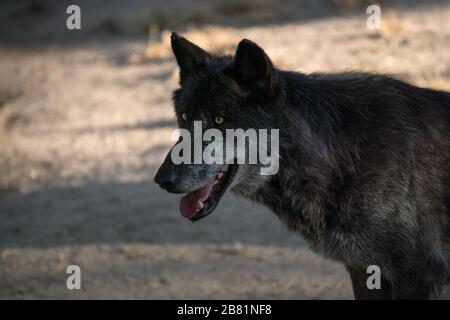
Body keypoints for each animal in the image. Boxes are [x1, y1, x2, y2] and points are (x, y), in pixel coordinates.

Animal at [156, 33, 450, 300]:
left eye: (218, 120)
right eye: (185, 116)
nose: (162, 180)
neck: (337, 158)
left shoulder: (415, 273)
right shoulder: (364, 270)